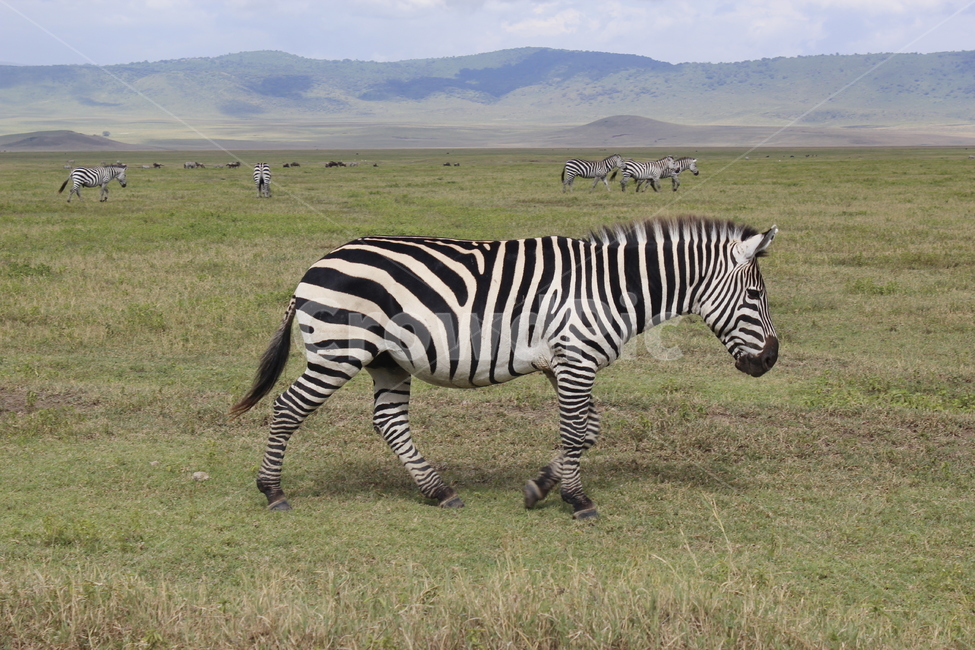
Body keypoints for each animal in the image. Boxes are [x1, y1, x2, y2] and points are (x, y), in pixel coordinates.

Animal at [230, 216, 778, 519]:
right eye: (756, 295)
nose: (770, 359)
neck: (609, 287)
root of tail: (315, 266)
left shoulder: (564, 362)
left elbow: (588, 430)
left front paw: (542, 486)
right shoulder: (576, 358)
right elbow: (577, 431)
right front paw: (577, 500)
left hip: (387, 360)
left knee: (389, 422)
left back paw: (439, 491)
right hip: (339, 351)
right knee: (287, 408)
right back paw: (272, 491)